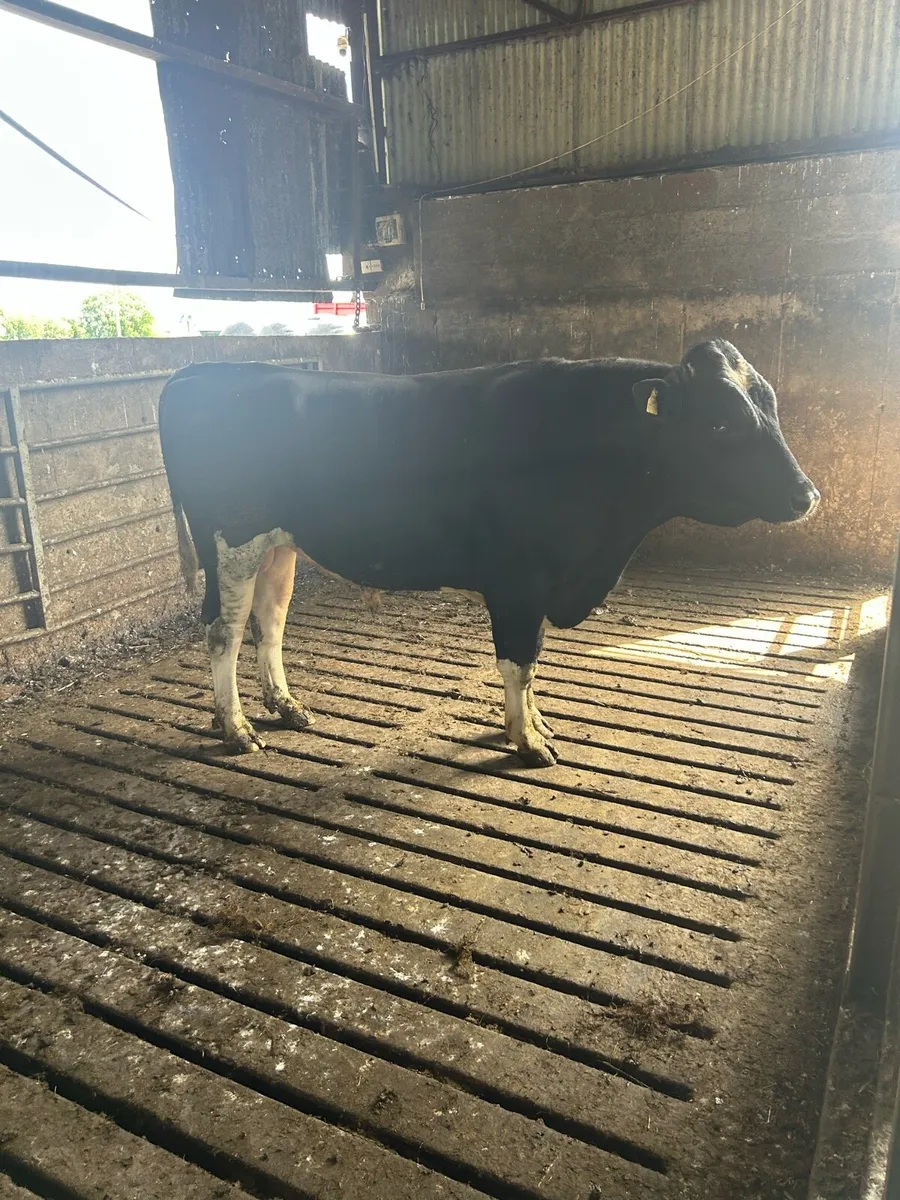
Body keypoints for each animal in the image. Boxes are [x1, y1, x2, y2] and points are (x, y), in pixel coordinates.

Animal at [158, 339, 818, 768]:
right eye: (722, 424)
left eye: (771, 407)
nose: (806, 494)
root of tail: (199, 371)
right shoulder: (520, 581)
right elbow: (519, 663)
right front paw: (528, 742)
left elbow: (532, 666)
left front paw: (533, 723)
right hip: (232, 539)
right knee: (222, 631)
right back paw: (237, 729)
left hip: (278, 545)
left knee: (268, 624)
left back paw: (287, 706)